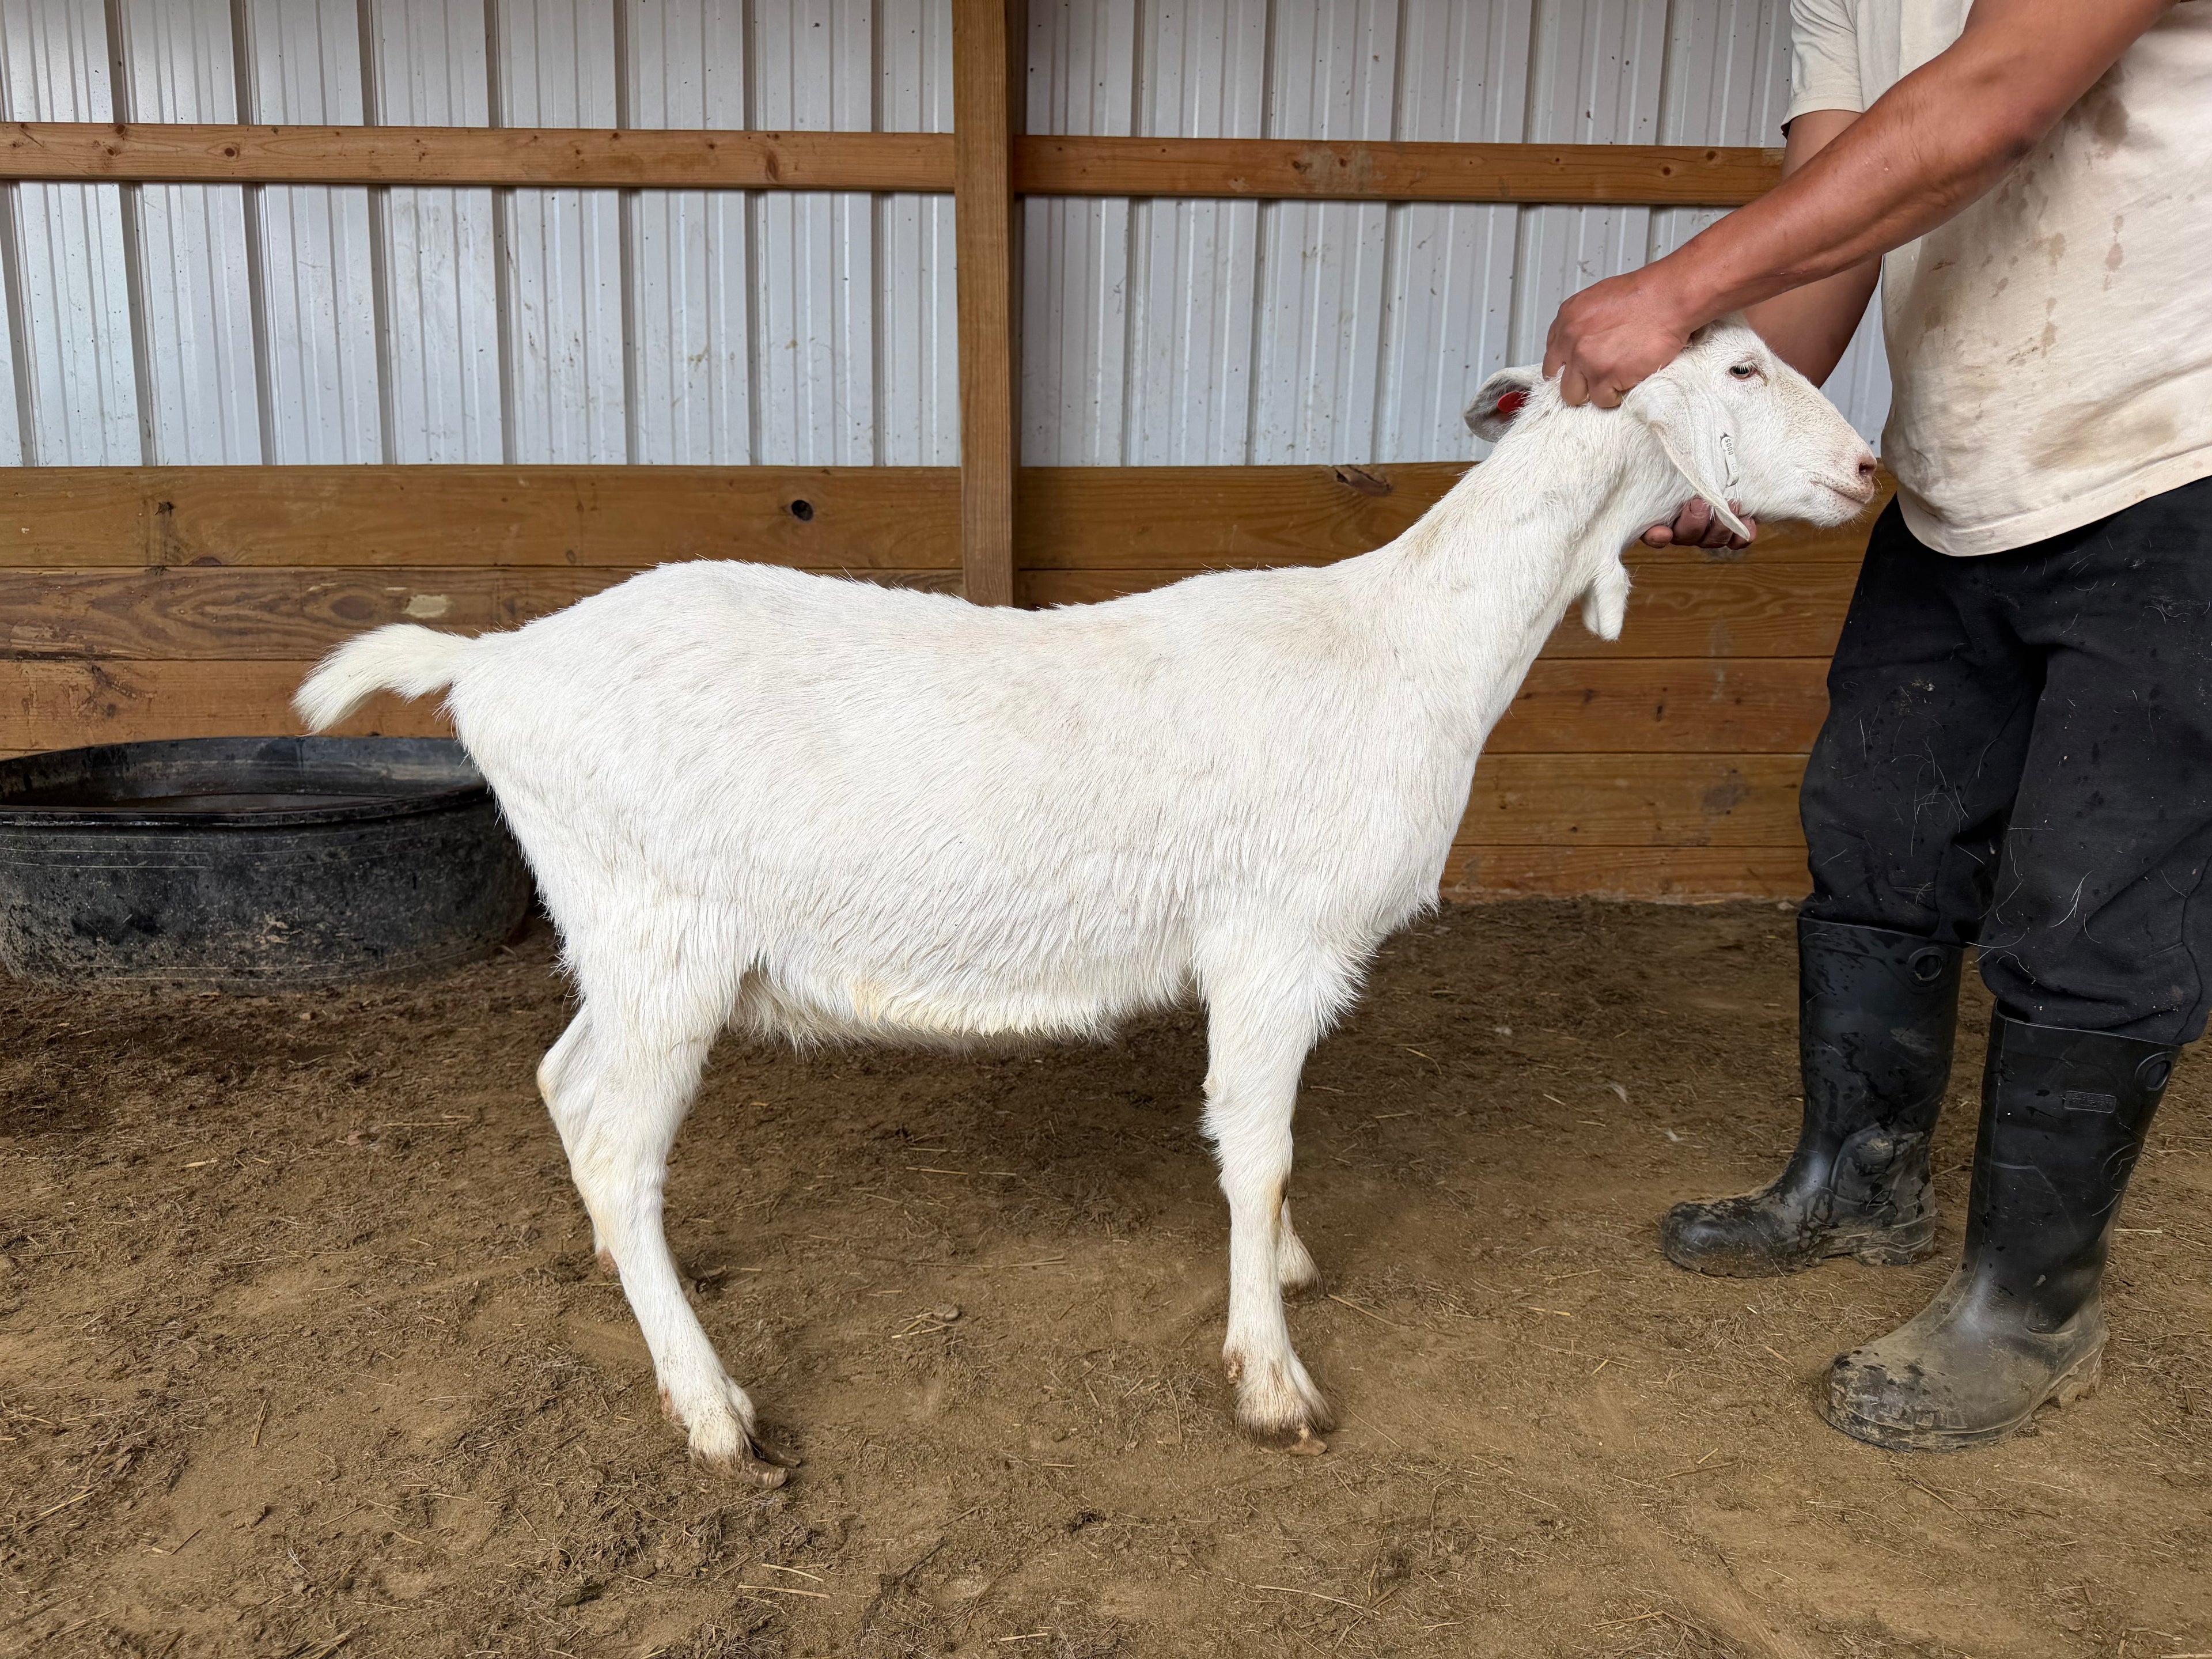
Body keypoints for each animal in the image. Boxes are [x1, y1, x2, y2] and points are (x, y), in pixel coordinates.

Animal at [297, 319, 1877, 1484]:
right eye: (1744, 368)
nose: (1869, 470)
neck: (1406, 641)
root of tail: (494, 663)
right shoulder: (1273, 941)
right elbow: (1257, 1147)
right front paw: (1272, 1378)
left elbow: (1266, 1150)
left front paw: (1285, 1273)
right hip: (659, 930)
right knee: (615, 1134)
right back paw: (712, 1407)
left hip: (627, 942)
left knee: (569, 1094)